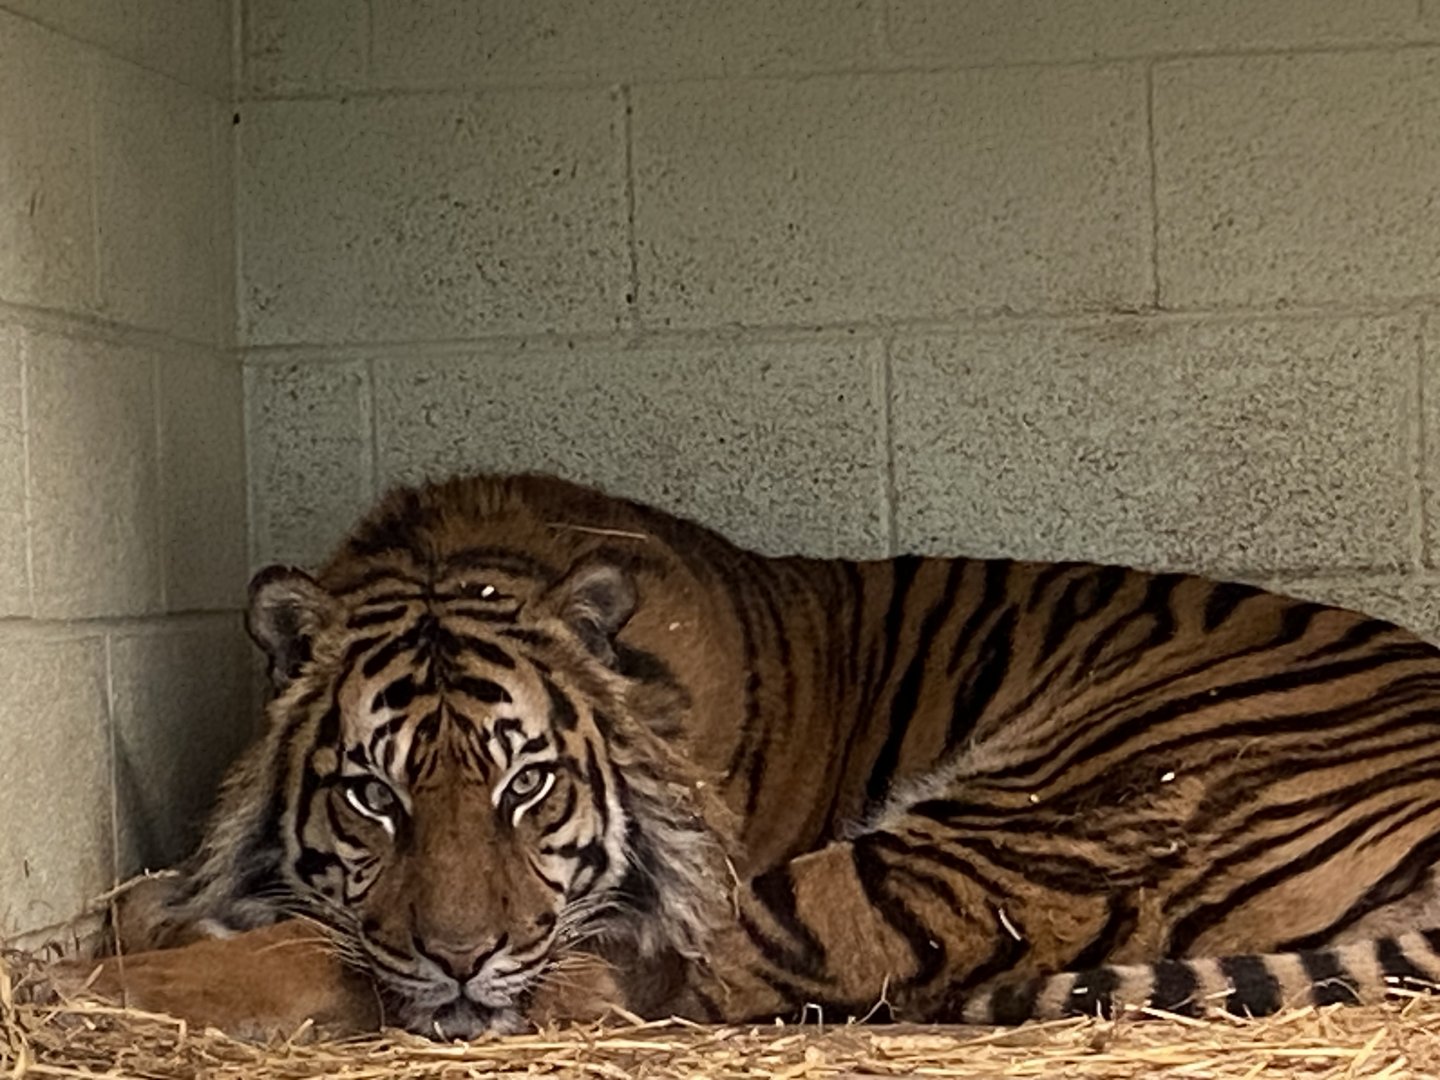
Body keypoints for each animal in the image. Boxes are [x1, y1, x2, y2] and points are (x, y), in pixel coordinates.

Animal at [52, 470, 1440, 1038]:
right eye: (373, 798)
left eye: (526, 786)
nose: (459, 955)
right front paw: (152, 913)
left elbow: (320, 950)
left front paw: (120, 970)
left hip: (1049, 812)